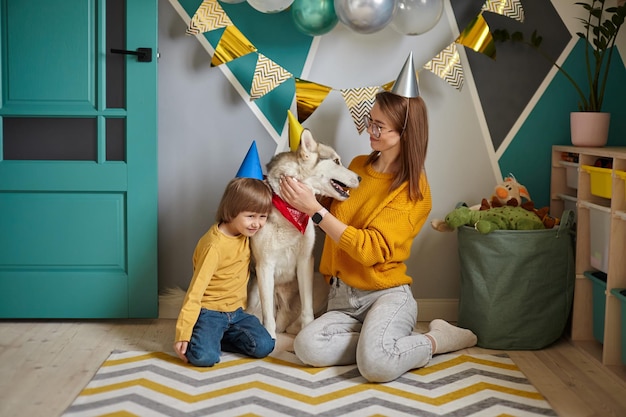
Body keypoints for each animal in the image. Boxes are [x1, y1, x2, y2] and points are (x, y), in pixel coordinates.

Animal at [246, 129, 358, 338]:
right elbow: (268, 316)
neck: (290, 213)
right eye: (336, 161)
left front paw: (306, 328)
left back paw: (294, 327)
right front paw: (270, 338)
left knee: (294, 319)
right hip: (255, 288)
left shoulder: (306, 261)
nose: (360, 178)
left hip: (320, 280)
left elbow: (307, 309)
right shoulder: (265, 266)